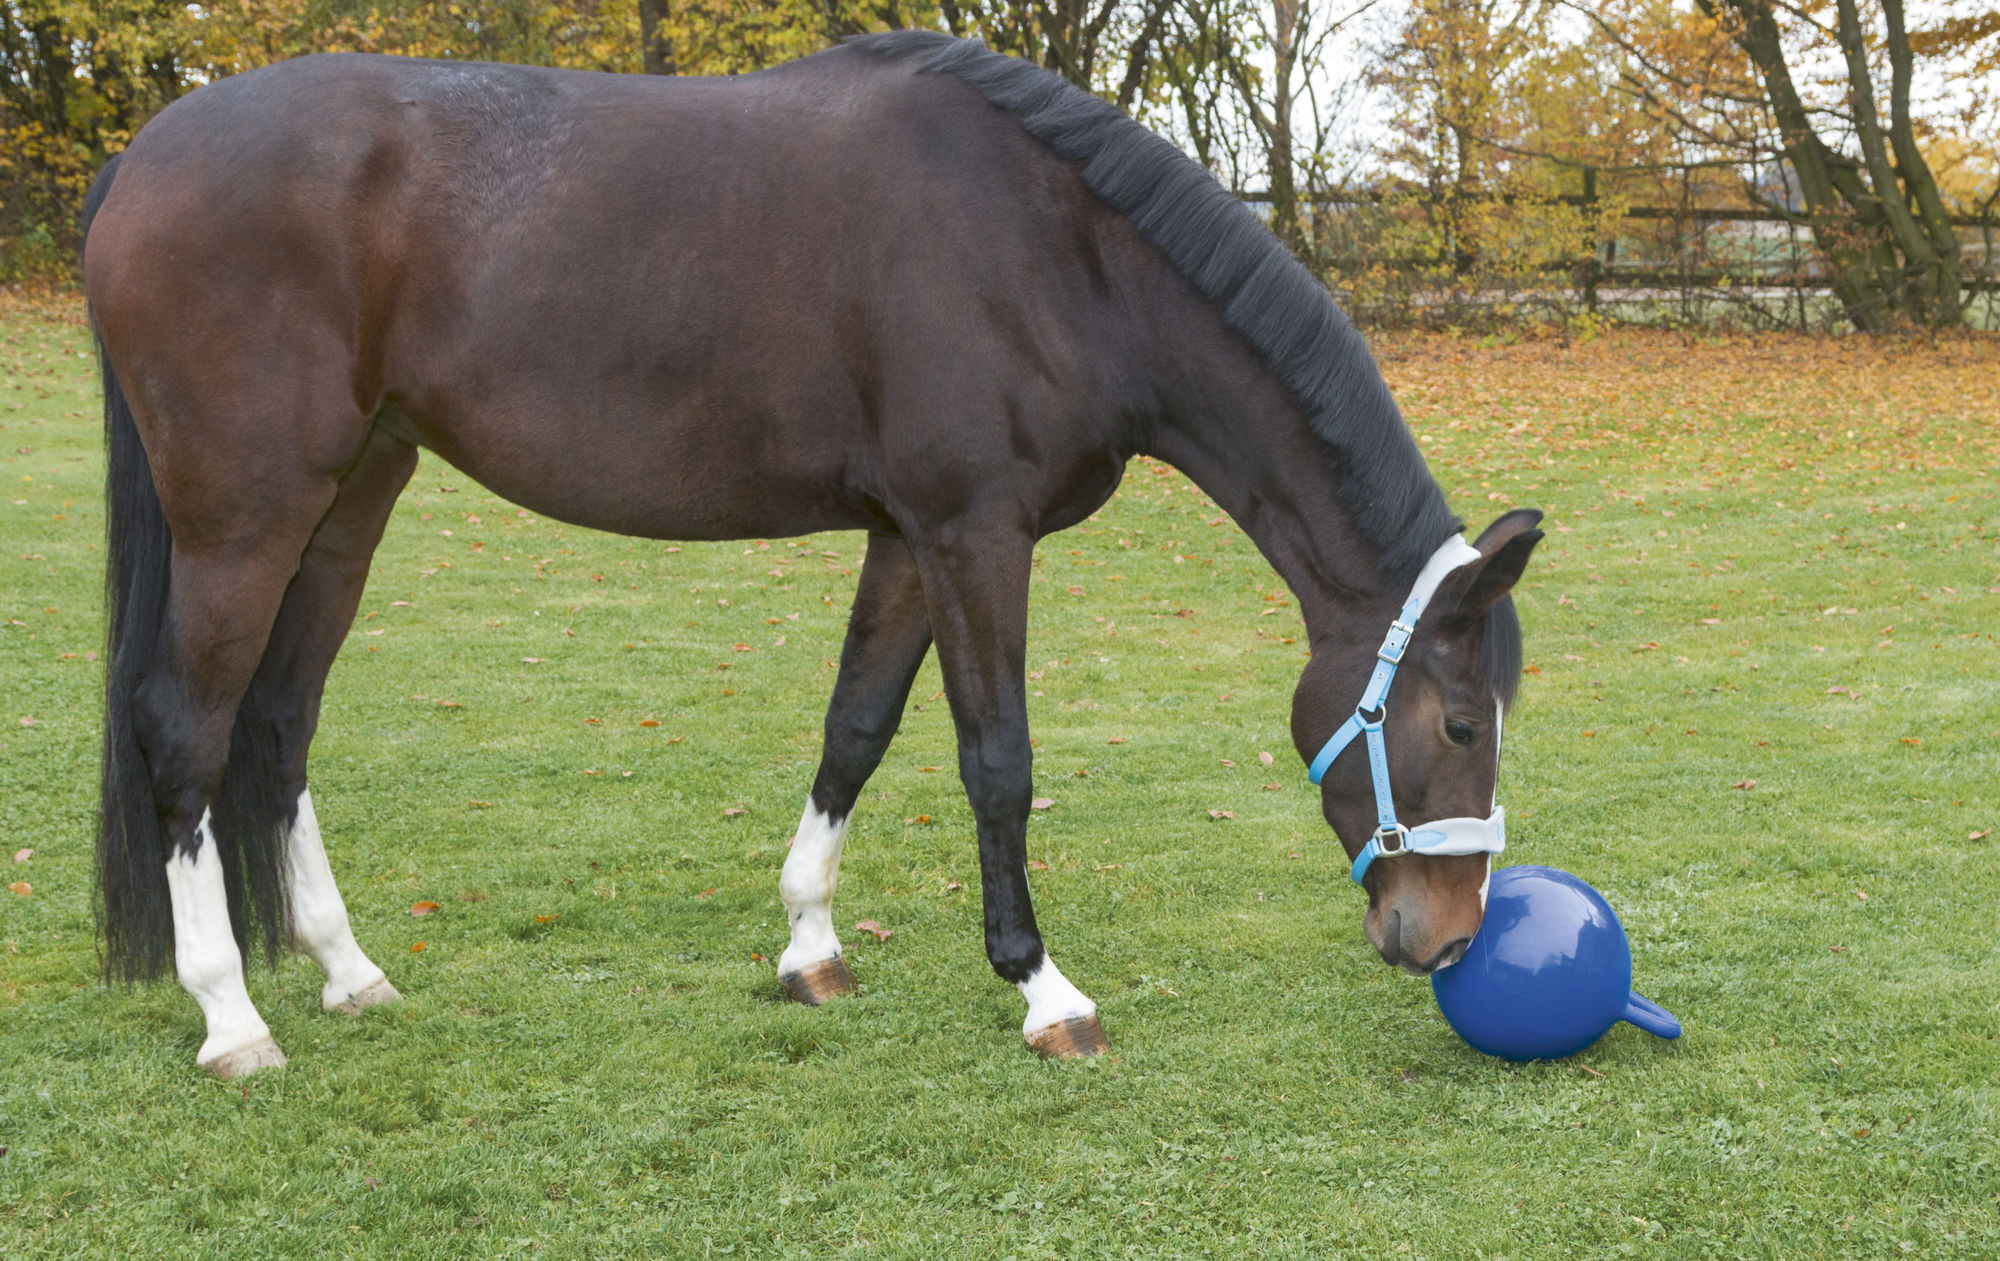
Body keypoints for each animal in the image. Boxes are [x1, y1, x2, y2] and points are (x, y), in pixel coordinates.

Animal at [82, 31, 1543, 1078]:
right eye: (1460, 723)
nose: (1448, 936)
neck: (1054, 252)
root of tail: (145, 156)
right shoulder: (972, 533)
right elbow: (997, 761)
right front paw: (1042, 988)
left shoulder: (906, 538)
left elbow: (856, 728)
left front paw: (809, 947)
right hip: (244, 513)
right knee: (184, 731)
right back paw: (232, 1018)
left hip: (351, 497)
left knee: (278, 722)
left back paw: (348, 971)